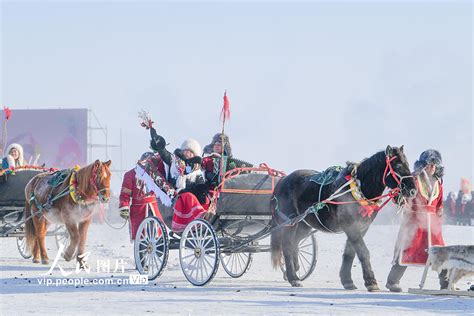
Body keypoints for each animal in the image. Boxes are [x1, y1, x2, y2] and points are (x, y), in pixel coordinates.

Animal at [272, 146, 416, 292]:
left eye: (408, 164)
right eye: (398, 165)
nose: (413, 190)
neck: (358, 188)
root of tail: (283, 180)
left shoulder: (361, 227)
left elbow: (350, 253)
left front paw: (347, 280)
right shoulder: (351, 226)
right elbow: (363, 252)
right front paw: (371, 282)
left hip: (304, 224)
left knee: (295, 244)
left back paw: (293, 272)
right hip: (289, 223)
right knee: (288, 246)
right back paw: (293, 278)